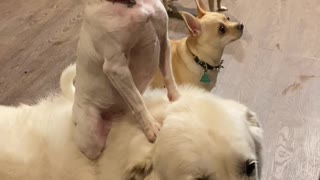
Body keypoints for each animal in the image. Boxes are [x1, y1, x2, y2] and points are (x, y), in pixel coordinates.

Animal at [74, 0, 180, 159]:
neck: (133, 5)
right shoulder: (116, 67)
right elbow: (138, 103)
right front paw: (151, 128)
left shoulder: (163, 40)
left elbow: (169, 75)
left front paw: (177, 98)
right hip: (90, 135)